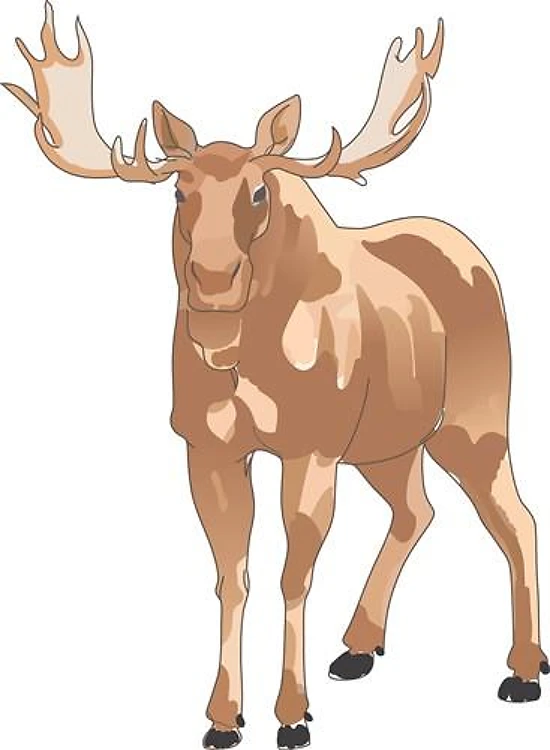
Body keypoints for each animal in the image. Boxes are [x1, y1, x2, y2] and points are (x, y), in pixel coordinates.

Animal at [3, 4, 548, 749]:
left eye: (258, 190)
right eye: (179, 192)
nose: (212, 278)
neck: (240, 359)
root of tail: (478, 258)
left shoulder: (309, 448)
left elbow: (295, 575)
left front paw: (292, 714)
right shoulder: (208, 449)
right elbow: (232, 577)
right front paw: (223, 717)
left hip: (472, 422)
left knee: (516, 517)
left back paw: (522, 669)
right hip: (386, 443)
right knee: (417, 510)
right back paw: (360, 644)